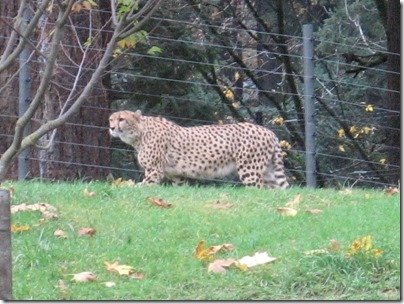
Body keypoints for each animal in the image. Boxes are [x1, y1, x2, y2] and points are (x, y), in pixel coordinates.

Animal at [109, 110, 288, 189]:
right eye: (111, 119)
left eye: (121, 119)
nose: (111, 127)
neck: (140, 133)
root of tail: (268, 131)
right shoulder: (176, 175)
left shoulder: (154, 171)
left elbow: (140, 186)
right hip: (268, 172)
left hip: (249, 170)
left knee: (257, 189)